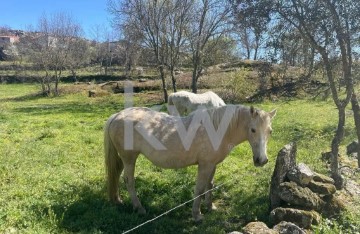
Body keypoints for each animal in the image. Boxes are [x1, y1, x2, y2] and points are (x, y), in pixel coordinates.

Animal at [103, 104, 276, 221]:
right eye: (253, 129)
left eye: (270, 131)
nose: (262, 160)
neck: (218, 130)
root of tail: (117, 115)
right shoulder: (204, 165)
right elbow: (199, 189)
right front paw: (197, 215)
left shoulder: (212, 165)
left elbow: (209, 186)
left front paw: (210, 207)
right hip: (129, 159)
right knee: (129, 181)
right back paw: (139, 208)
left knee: (117, 176)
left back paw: (118, 200)